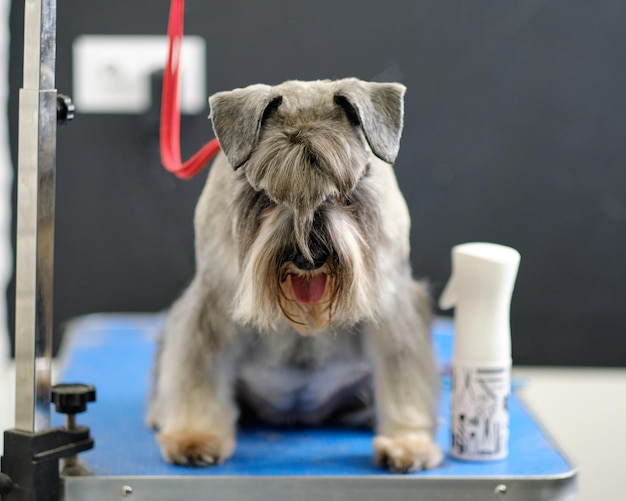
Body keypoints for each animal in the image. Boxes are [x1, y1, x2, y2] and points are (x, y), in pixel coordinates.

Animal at [146, 76, 442, 470]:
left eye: (343, 191)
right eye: (266, 194)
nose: (309, 258)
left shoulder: (394, 309)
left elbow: (404, 376)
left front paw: (407, 443)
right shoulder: (210, 307)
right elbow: (198, 371)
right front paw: (195, 435)